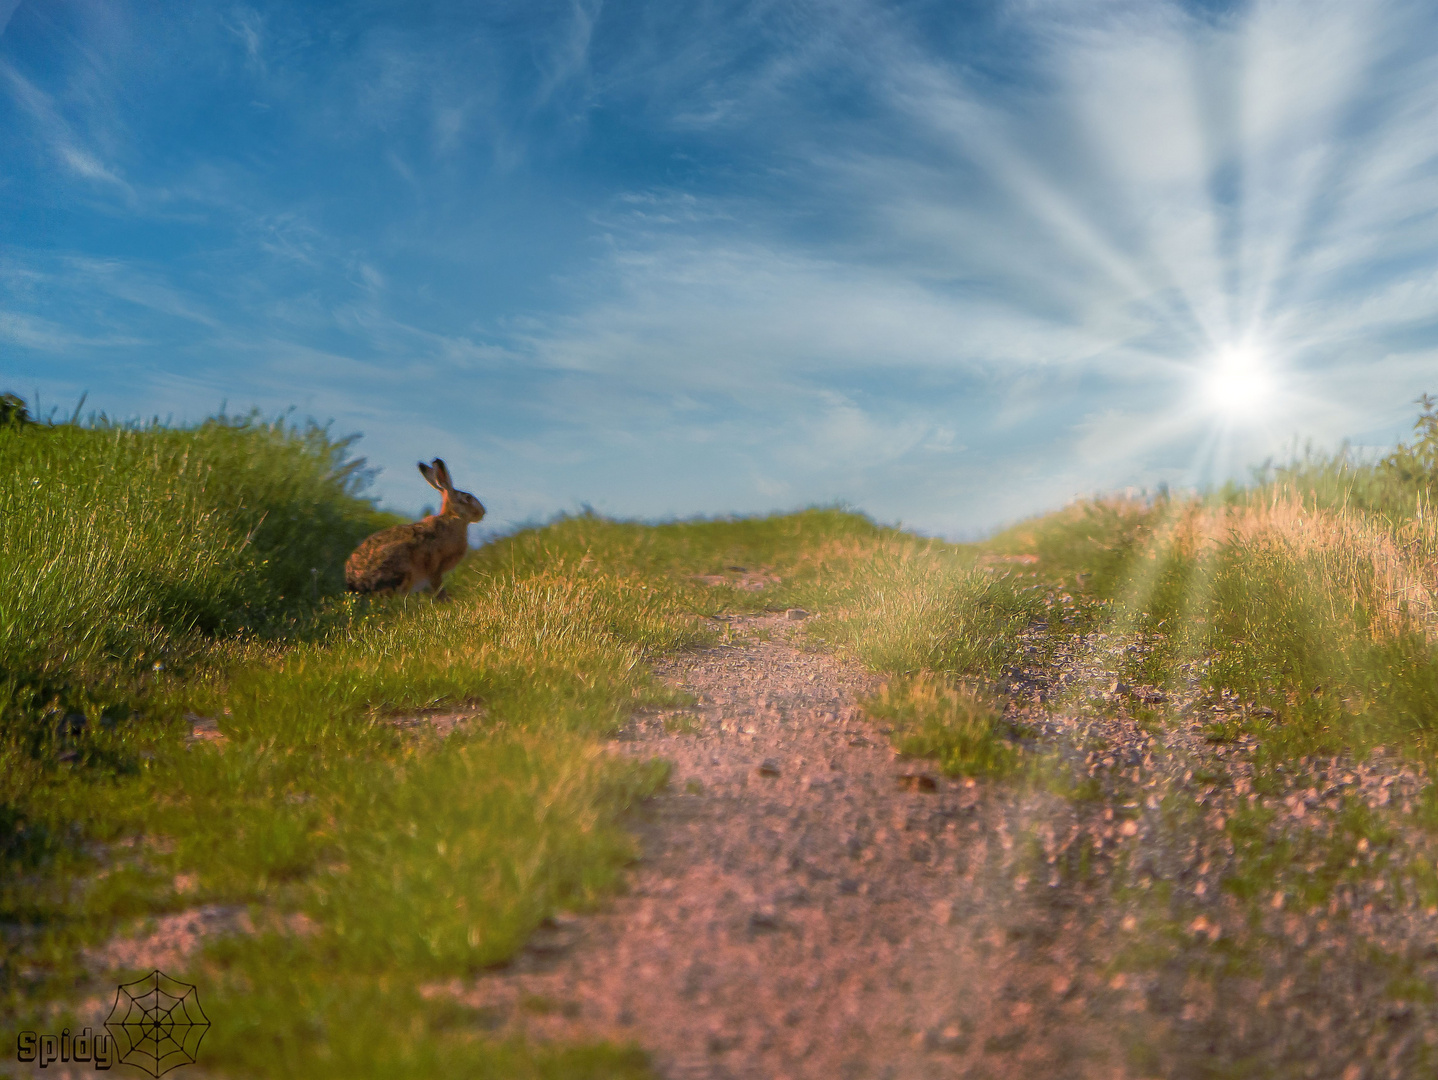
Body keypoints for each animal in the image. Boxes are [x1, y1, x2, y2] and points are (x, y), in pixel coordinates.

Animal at [346, 457, 488, 601]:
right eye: (468, 498)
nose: (483, 512)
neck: (453, 517)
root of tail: (356, 584)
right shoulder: (435, 567)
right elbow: (438, 585)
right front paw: (445, 600)